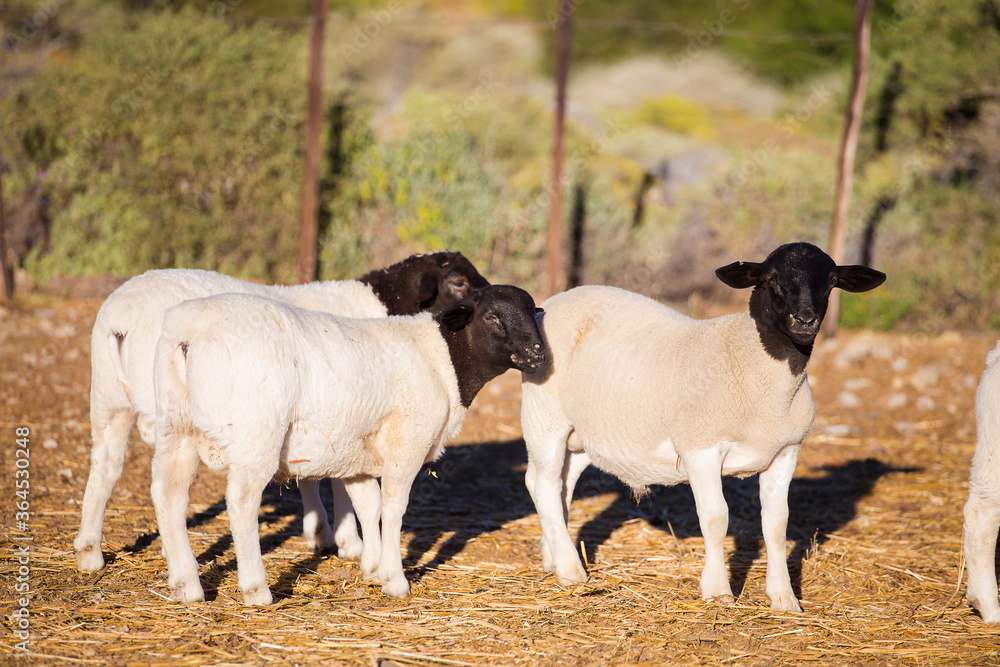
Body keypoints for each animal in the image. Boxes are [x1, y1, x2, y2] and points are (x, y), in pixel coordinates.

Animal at [75, 251, 488, 573]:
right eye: (458, 282)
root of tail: (121, 318)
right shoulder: (341, 414)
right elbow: (335, 480)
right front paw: (345, 539)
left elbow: (314, 476)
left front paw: (320, 532)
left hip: (109, 401)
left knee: (106, 467)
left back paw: (90, 553)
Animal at [151, 284, 545, 604]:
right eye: (491, 316)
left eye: (532, 311)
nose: (537, 353)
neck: (441, 359)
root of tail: (189, 334)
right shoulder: (407, 442)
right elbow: (394, 509)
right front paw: (394, 579)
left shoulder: (359, 451)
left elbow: (368, 506)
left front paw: (372, 566)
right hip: (256, 433)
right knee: (241, 503)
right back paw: (256, 589)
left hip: (175, 427)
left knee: (169, 495)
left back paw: (186, 586)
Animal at [521, 242, 885, 612]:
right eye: (771, 279)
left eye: (831, 282)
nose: (805, 321)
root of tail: (555, 300)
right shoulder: (701, 448)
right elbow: (715, 518)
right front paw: (718, 591)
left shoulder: (786, 450)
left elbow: (777, 523)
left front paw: (784, 599)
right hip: (544, 416)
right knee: (543, 484)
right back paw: (570, 571)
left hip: (584, 434)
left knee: (562, 484)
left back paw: (553, 557)